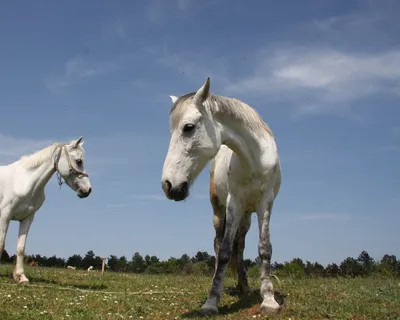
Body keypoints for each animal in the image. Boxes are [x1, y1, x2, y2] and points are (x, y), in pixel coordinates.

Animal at [0, 136, 91, 284]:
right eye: (79, 161)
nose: (88, 190)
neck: (25, 182)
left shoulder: (27, 218)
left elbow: (20, 248)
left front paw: (21, 277)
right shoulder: (5, 216)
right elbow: (1, 243)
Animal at [162, 78, 282, 316]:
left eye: (188, 127)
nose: (168, 185)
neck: (254, 160)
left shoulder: (265, 203)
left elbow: (264, 248)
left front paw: (268, 299)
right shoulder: (233, 203)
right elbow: (225, 251)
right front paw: (211, 302)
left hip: (246, 216)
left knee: (240, 247)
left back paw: (244, 287)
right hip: (219, 212)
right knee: (219, 245)